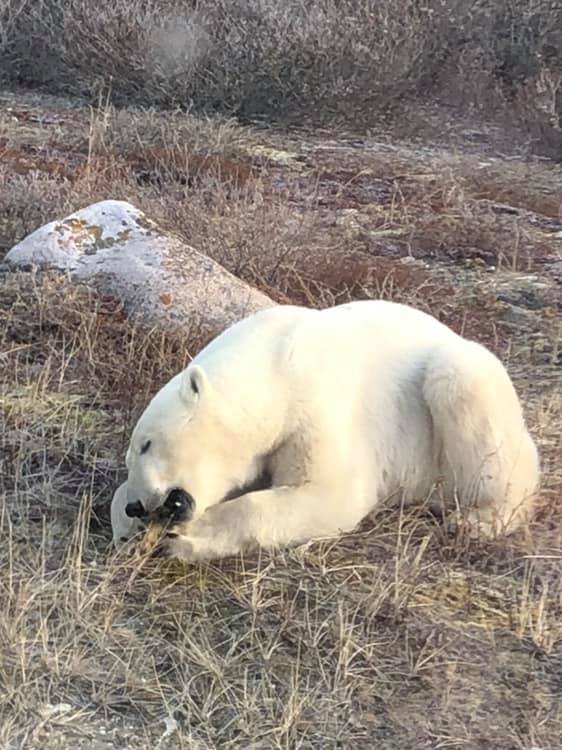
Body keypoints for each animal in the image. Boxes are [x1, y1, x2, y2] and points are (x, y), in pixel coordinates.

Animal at [111, 299, 540, 562]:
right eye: (132, 453)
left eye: (147, 443)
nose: (139, 505)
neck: (274, 367)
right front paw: (128, 527)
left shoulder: (318, 405)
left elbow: (332, 492)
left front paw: (190, 535)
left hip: (454, 394)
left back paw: (479, 520)